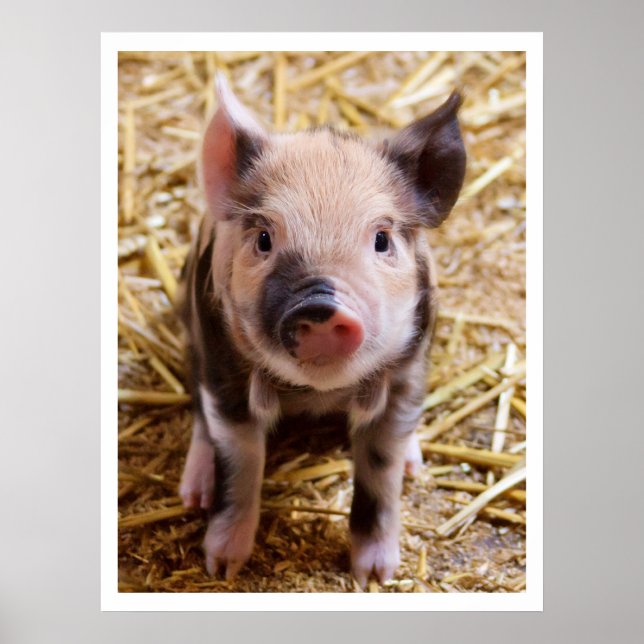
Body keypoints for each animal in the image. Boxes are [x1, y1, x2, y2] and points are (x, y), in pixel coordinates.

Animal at [178, 73, 466, 587]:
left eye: (382, 240)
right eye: (264, 238)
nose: (319, 305)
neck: (316, 394)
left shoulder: (408, 372)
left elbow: (381, 470)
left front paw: (376, 577)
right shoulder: (222, 367)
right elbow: (240, 462)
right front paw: (222, 567)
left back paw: (416, 466)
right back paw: (193, 494)